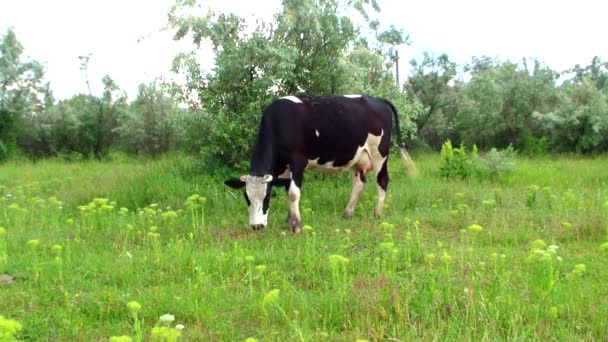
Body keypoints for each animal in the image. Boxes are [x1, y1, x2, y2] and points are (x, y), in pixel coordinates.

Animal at [223, 94, 418, 232]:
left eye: (267, 198)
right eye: (246, 197)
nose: (256, 226)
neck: (280, 122)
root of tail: (378, 99)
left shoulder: (298, 161)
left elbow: (293, 193)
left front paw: (296, 225)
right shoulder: (285, 167)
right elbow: (287, 189)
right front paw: (289, 220)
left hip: (379, 154)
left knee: (382, 181)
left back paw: (377, 214)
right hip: (359, 158)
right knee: (359, 184)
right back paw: (347, 214)